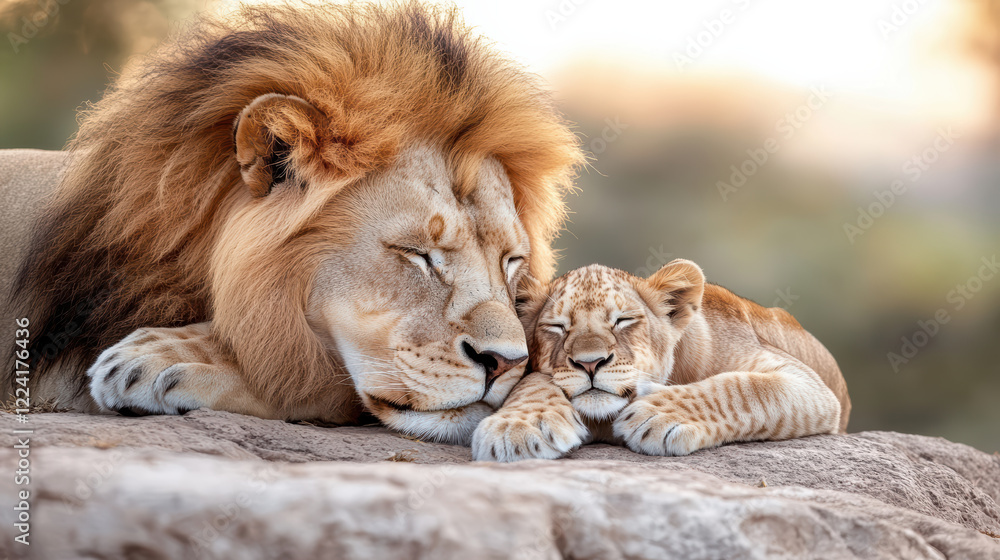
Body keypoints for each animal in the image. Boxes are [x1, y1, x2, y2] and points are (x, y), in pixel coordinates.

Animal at [472, 260, 851, 461]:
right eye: (557, 327)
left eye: (623, 320)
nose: (590, 363)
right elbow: (533, 379)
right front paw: (516, 428)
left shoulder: (807, 383)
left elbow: (744, 388)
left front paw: (657, 415)